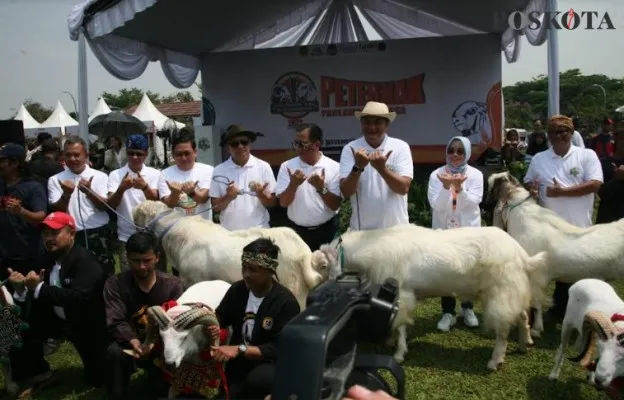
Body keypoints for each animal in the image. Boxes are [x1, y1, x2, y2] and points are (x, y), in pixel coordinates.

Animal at [314, 223, 548, 370]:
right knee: (522, 316)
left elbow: (400, 324)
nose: (316, 286)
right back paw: (525, 343)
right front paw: (391, 342)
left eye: (323, 265)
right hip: (511, 290)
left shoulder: (403, 292)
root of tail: (521, 254)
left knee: (503, 328)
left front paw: (399, 353)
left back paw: (495, 361)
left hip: (501, 291)